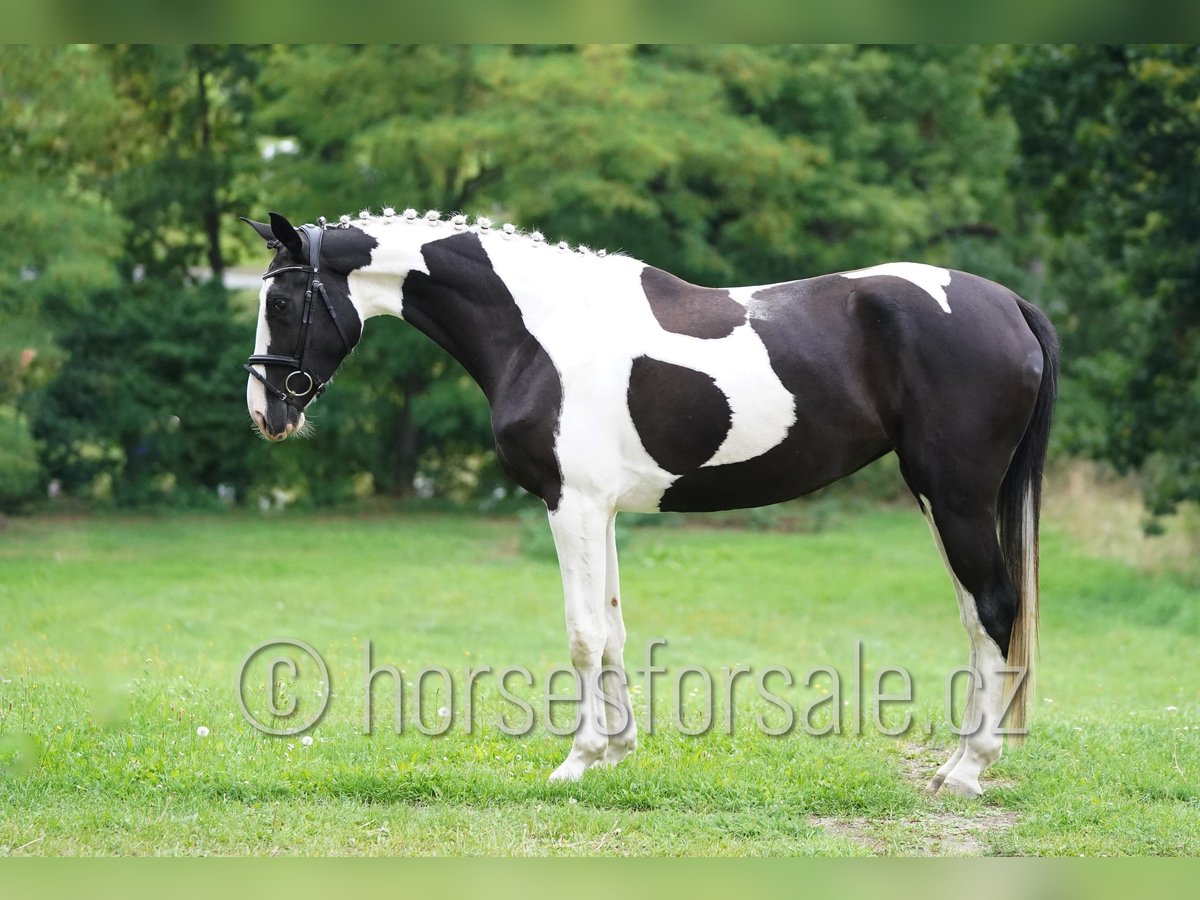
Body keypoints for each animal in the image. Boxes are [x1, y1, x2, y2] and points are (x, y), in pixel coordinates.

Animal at [241, 208, 1058, 797]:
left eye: (281, 297)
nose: (266, 412)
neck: (541, 329)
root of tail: (1011, 302)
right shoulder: (597, 510)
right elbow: (611, 630)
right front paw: (619, 750)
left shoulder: (569, 505)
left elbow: (580, 635)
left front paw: (577, 761)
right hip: (937, 498)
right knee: (975, 618)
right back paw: (959, 762)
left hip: (955, 497)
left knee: (995, 609)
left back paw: (968, 770)